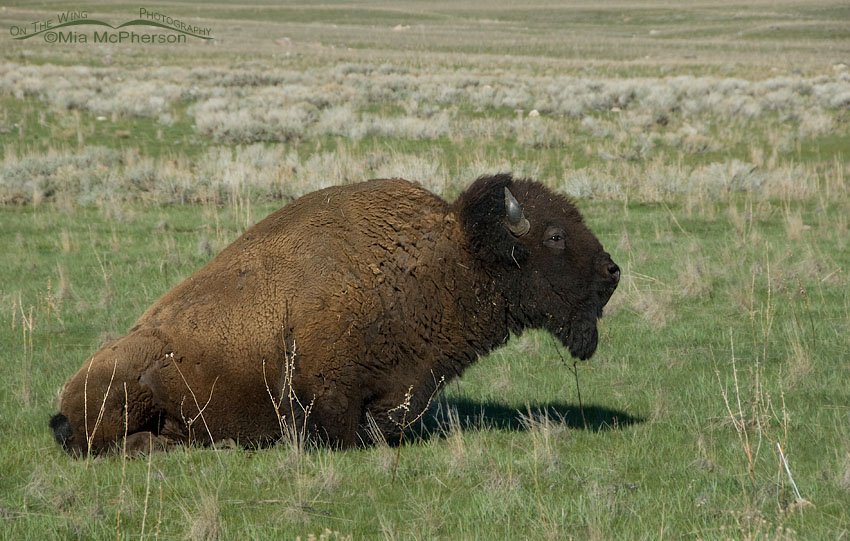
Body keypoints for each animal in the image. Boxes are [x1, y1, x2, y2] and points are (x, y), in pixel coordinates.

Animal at [49, 174, 620, 456]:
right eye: (555, 236)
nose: (612, 274)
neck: (444, 259)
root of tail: (63, 400)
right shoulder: (328, 395)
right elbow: (350, 433)